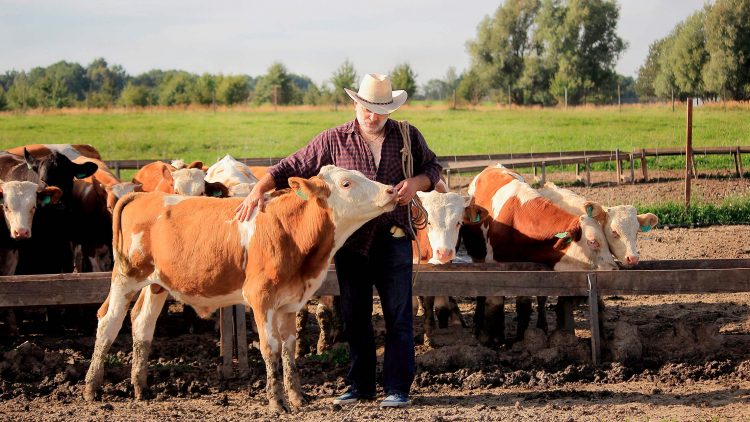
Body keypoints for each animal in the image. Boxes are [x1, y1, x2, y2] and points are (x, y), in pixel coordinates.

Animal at [84, 165, 400, 412]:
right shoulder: (261, 300)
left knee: (142, 324)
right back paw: (92, 388)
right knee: (109, 322)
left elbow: (289, 350)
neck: (290, 231)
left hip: (156, 285)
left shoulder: (290, 304)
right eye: (347, 183)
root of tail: (143, 196)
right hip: (127, 277)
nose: (391, 191)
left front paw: (297, 398)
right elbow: (270, 349)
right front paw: (276, 402)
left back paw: (141, 388)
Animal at [462, 165, 620, 346]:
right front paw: (494, 338)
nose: (614, 269)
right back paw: (478, 324)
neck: (517, 218)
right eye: (593, 242)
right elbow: (495, 300)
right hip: (477, 256)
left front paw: (522, 337)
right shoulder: (494, 264)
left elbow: (524, 304)